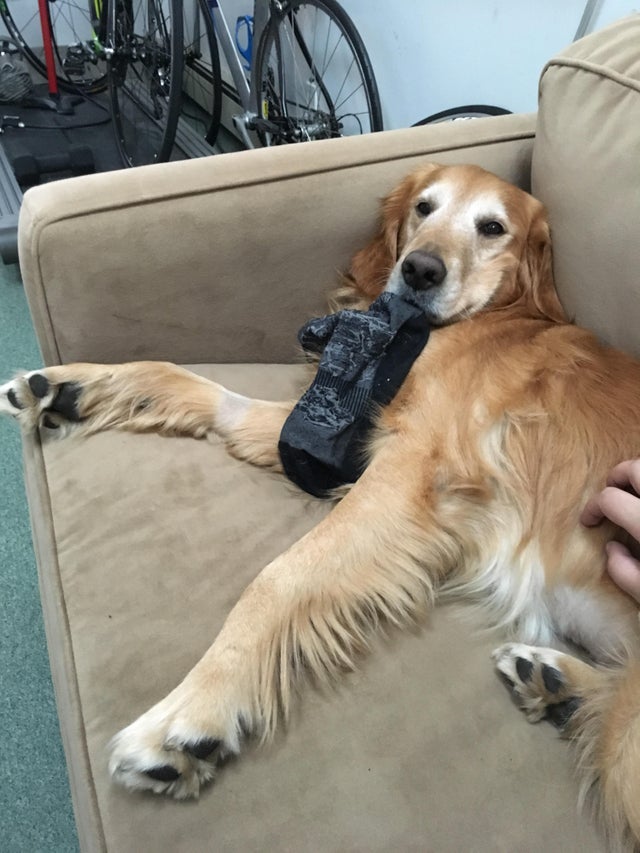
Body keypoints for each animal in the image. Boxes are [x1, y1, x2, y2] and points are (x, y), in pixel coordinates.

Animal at [1, 163, 640, 848]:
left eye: (492, 228)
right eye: (424, 207)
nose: (419, 271)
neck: (479, 322)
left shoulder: (409, 473)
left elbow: (279, 577)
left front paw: (191, 713)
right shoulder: (346, 442)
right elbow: (202, 387)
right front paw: (74, 386)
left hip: (626, 747)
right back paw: (557, 686)